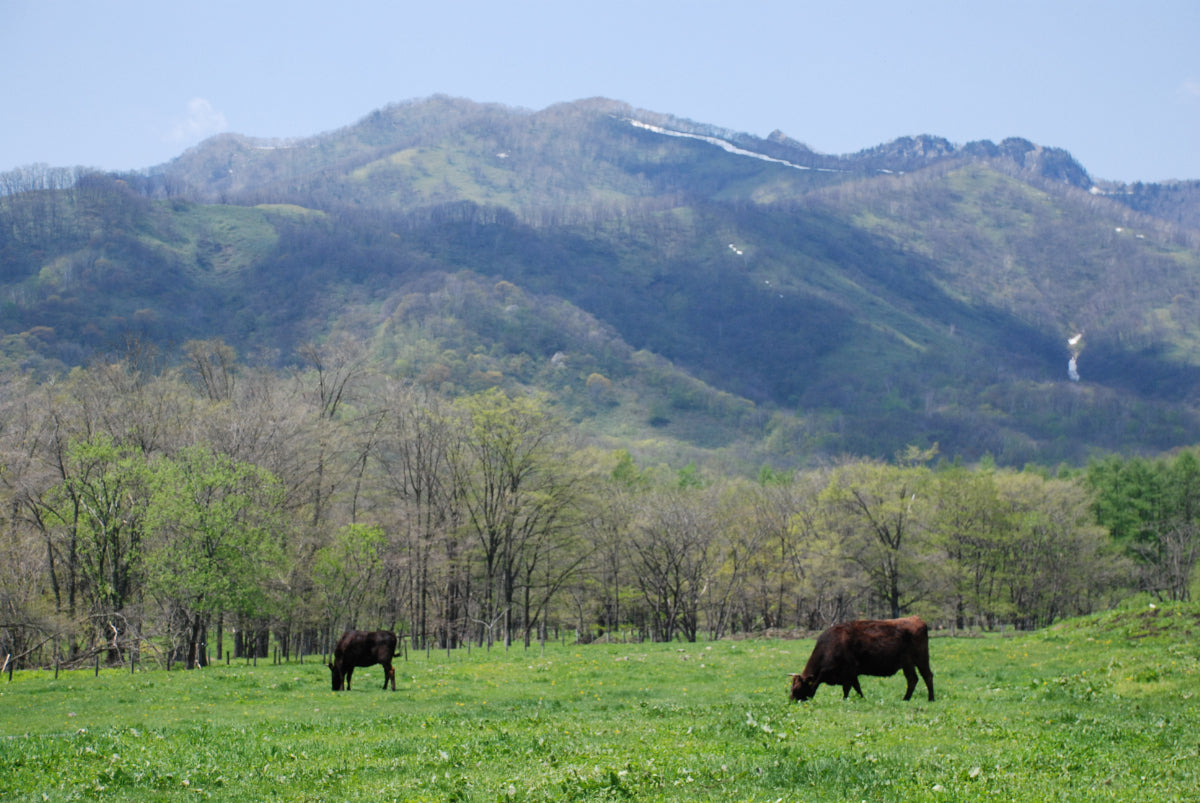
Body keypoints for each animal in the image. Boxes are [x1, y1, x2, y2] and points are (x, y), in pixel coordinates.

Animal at [787, 619, 936, 696]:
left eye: (797, 689)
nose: (792, 701)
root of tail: (917, 619)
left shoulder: (849, 672)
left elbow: (848, 688)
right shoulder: (851, 674)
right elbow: (856, 687)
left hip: (921, 660)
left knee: (927, 676)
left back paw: (931, 699)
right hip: (907, 664)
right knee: (912, 679)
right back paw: (906, 699)